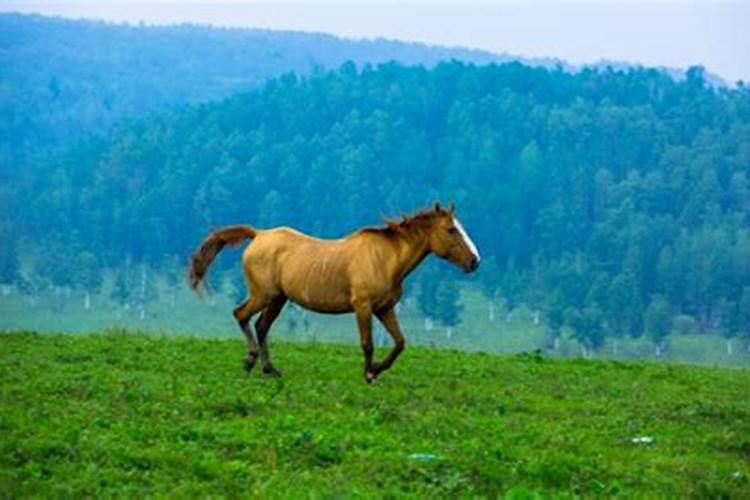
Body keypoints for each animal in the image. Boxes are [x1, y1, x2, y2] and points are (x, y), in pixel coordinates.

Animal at [188, 203, 482, 382]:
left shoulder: (384, 308)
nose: (474, 261)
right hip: (265, 295)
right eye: (450, 230)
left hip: (278, 299)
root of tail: (258, 234)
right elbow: (367, 343)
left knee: (261, 326)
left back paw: (270, 368)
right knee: (241, 315)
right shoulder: (363, 306)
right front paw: (369, 373)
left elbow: (399, 342)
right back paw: (250, 360)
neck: (387, 259)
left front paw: (377, 369)